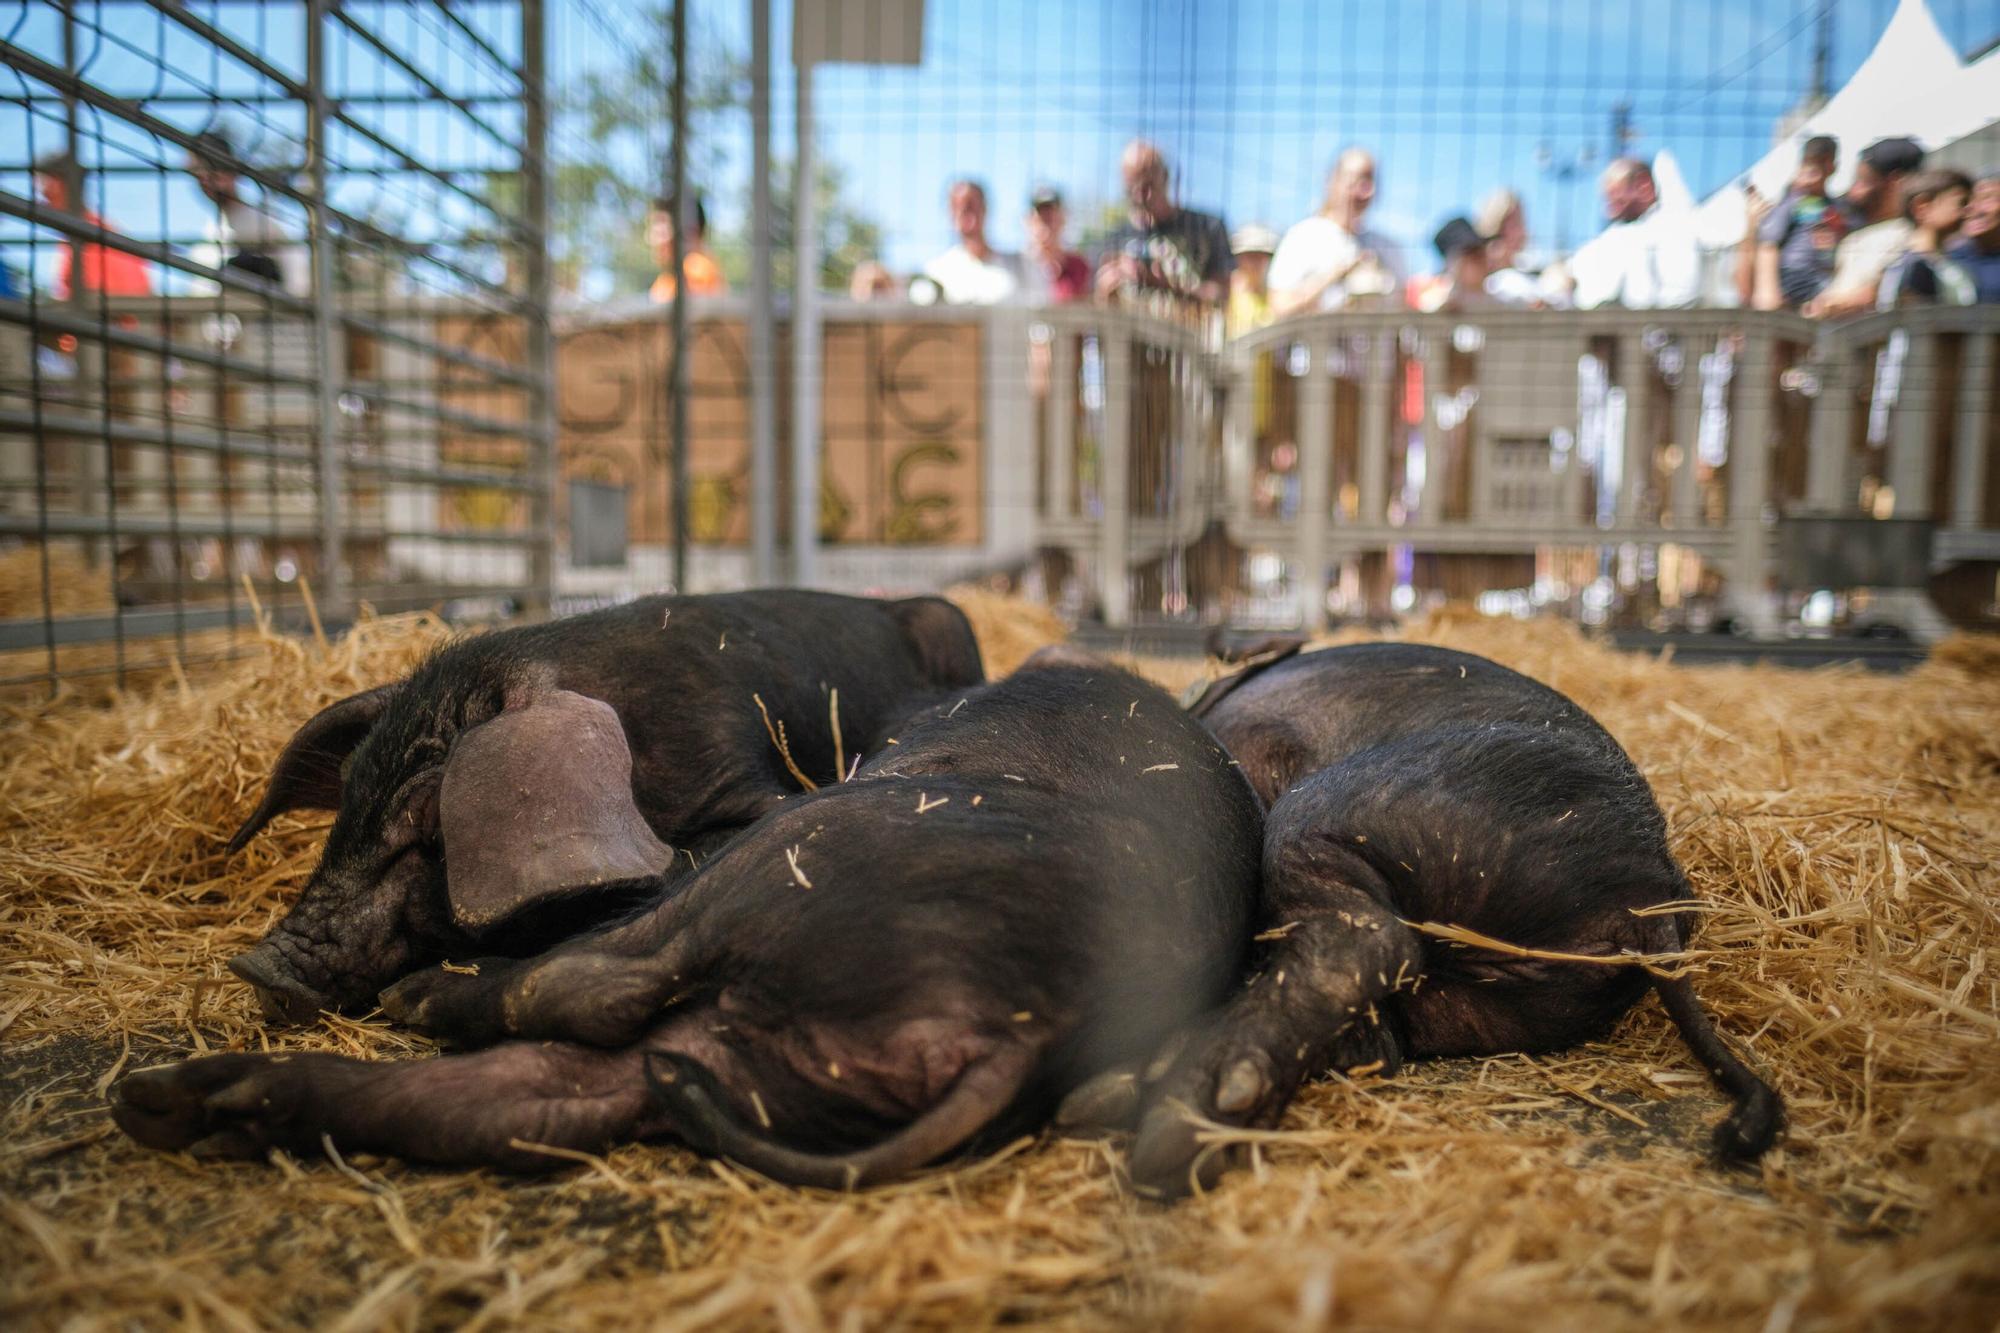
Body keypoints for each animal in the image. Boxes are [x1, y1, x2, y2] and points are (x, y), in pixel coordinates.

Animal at [1088, 640, 1792, 1184]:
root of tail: (1645, 899)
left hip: (1348, 807)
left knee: (1368, 943)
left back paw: (1173, 1128)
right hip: (1484, 1005)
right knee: (1380, 1038)